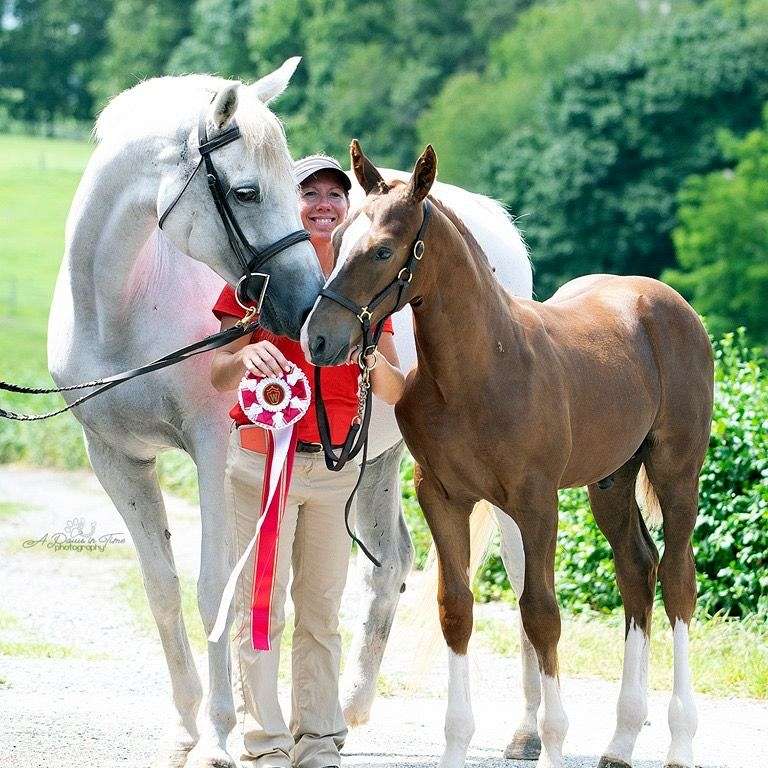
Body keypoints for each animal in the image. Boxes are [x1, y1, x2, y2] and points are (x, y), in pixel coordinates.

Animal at [46, 65, 534, 767]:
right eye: (246, 191)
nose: (305, 306)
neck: (123, 303)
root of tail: (492, 222)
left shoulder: (215, 453)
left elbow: (214, 588)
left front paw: (219, 735)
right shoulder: (115, 458)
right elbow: (162, 590)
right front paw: (185, 729)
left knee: (522, 573)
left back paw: (526, 730)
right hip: (377, 456)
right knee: (390, 565)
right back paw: (351, 711)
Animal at [304, 141, 714, 768]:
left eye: (382, 249)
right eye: (341, 235)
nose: (319, 339)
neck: (482, 369)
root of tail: (666, 301)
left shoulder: (535, 500)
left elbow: (541, 612)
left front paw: (550, 740)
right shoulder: (443, 497)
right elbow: (455, 608)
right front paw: (455, 743)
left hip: (676, 470)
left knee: (677, 580)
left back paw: (682, 740)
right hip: (612, 480)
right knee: (636, 570)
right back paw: (620, 739)